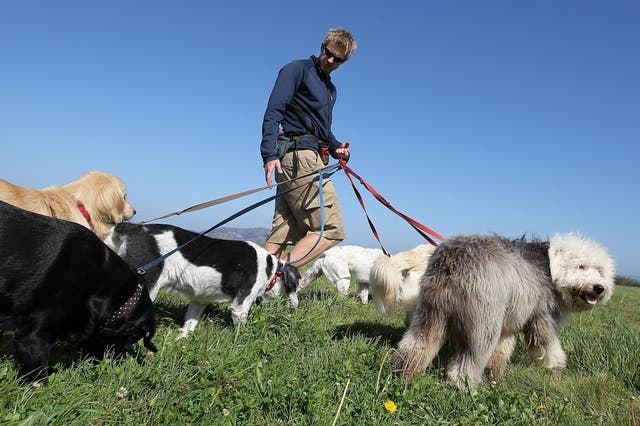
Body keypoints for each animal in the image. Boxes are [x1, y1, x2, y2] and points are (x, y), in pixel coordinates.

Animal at [106, 221, 302, 338]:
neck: (272, 269)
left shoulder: (199, 301)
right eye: (297, 286)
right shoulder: (240, 305)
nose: (297, 306)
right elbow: (241, 327)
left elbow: (189, 324)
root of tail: (132, 227)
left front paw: (182, 339)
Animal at [400, 235, 616, 388]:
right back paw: (466, 387)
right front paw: (556, 368)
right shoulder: (541, 318)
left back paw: (403, 373)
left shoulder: (509, 321)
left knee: (414, 347)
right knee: (466, 365)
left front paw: (495, 373)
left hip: (431, 313)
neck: (551, 270)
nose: (599, 288)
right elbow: (550, 346)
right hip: (484, 324)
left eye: (600, 271)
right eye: (582, 266)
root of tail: (452, 259)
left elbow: (502, 350)